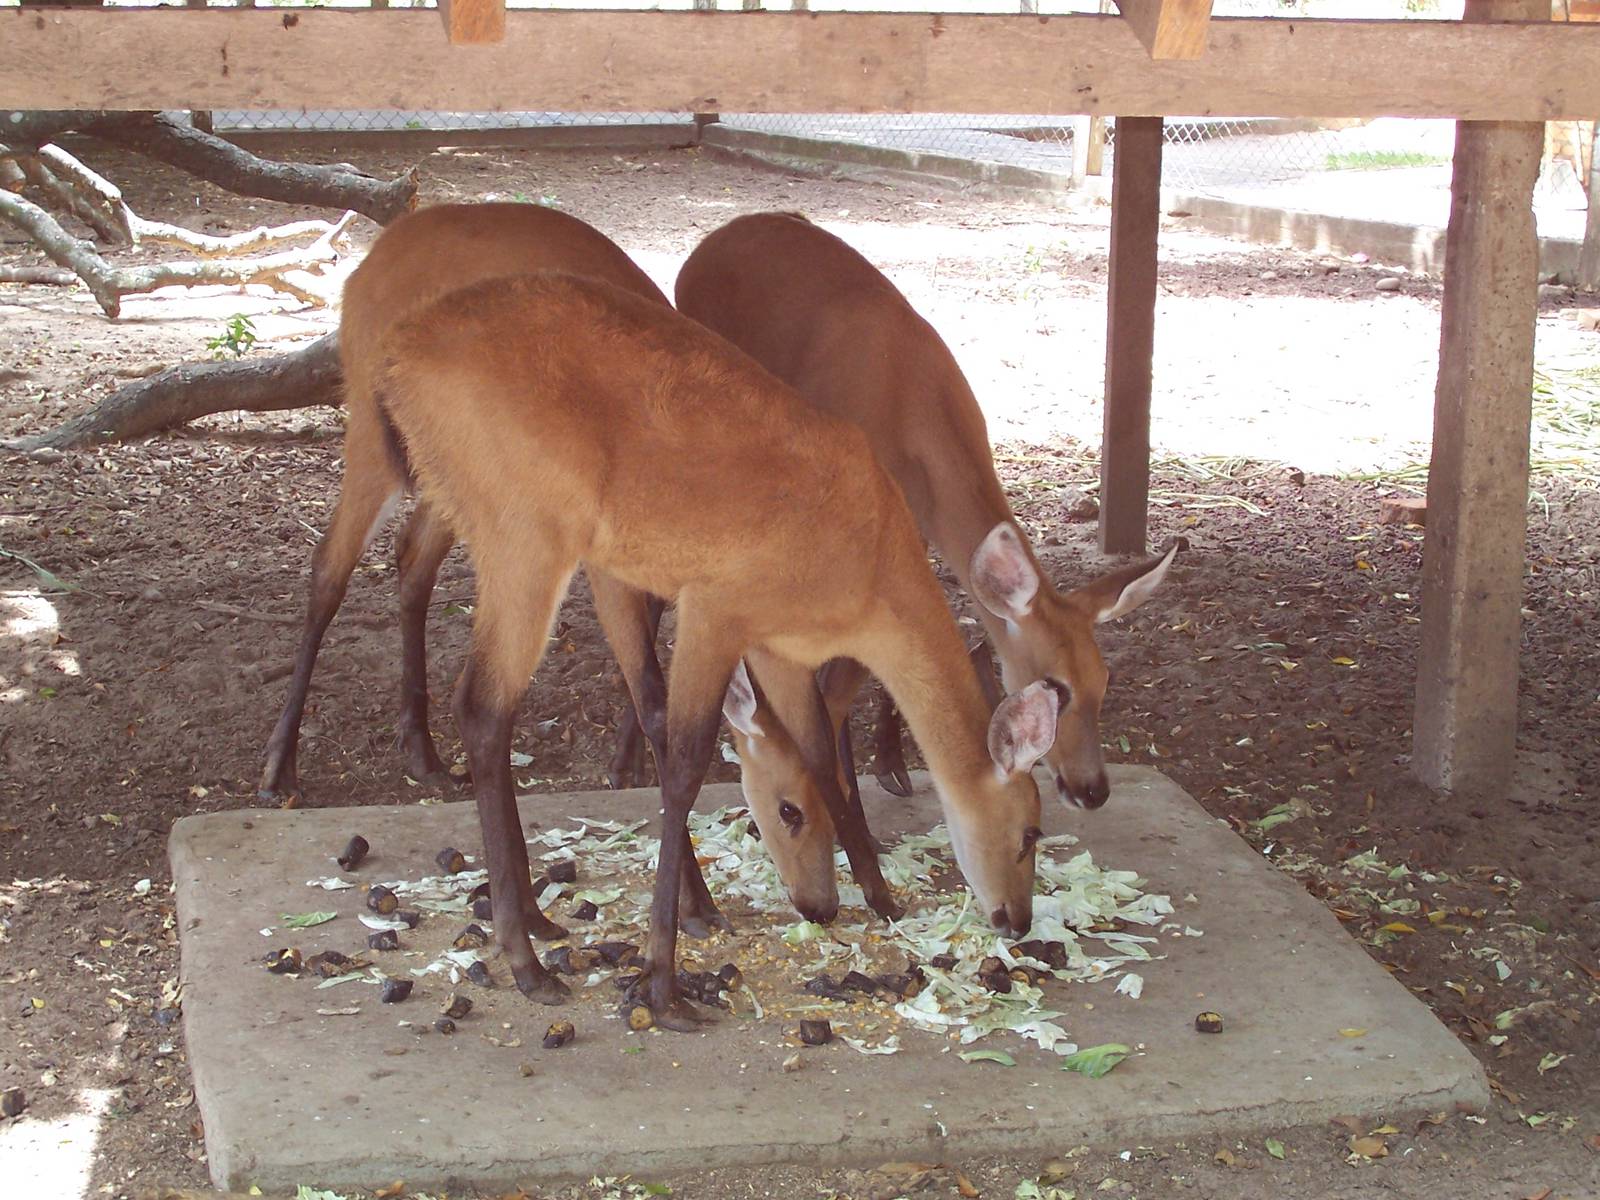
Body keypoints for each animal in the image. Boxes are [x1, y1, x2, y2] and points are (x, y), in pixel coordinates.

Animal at [254, 202, 870, 935]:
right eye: (789, 808)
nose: (822, 904)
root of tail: (378, 253)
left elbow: (654, 701)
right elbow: (659, 707)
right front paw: (690, 900)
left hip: (470, 495)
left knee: (410, 561)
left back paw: (422, 750)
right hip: (383, 450)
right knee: (328, 569)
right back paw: (279, 765)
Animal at [372, 270, 1061, 1027]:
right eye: (1030, 830)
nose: (1017, 918)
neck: (869, 572)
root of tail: (395, 364)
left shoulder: (778, 647)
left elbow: (817, 751)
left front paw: (881, 898)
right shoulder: (716, 605)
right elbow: (686, 765)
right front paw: (661, 982)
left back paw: (545, 921)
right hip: (524, 531)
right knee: (482, 705)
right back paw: (527, 961)